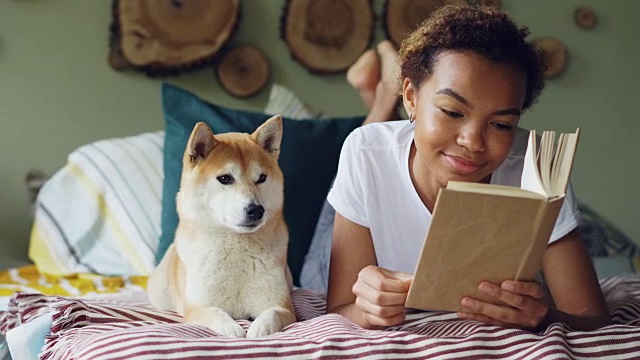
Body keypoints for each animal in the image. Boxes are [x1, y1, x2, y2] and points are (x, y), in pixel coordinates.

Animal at [148, 116, 296, 338]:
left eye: (261, 178)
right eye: (225, 178)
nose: (256, 210)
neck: (236, 250)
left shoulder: (283, 306)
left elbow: (273, 314)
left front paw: (259, 329)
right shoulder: (196, 308)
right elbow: (214, 313)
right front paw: (232, 328)